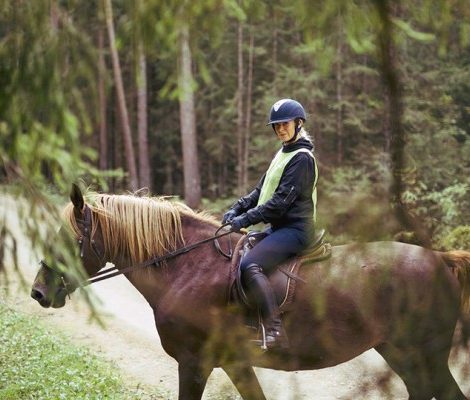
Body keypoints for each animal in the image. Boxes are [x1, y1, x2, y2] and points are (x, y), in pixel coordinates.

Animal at [30, 186, 470, 398]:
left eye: (68, 238)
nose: (38, 292)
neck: (187, 268)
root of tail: (440, 259)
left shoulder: (194, 363)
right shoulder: (234, 363)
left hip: (424, 353)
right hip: (402, 353)